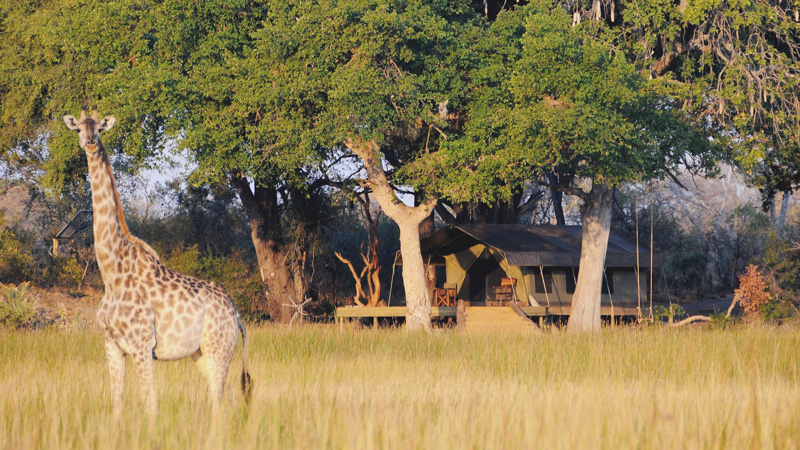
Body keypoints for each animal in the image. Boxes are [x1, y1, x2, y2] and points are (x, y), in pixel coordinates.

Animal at [63, 106, 252, 416]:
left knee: (220, 400)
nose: (90, 143)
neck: (112, 273)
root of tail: (236, 314)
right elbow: (117, 403)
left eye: (99, 129)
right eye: (78, 128)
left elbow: (151, 405)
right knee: (223, 400)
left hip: (219, 349)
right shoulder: (112, 344)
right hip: (200, 353)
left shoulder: (141, 346)